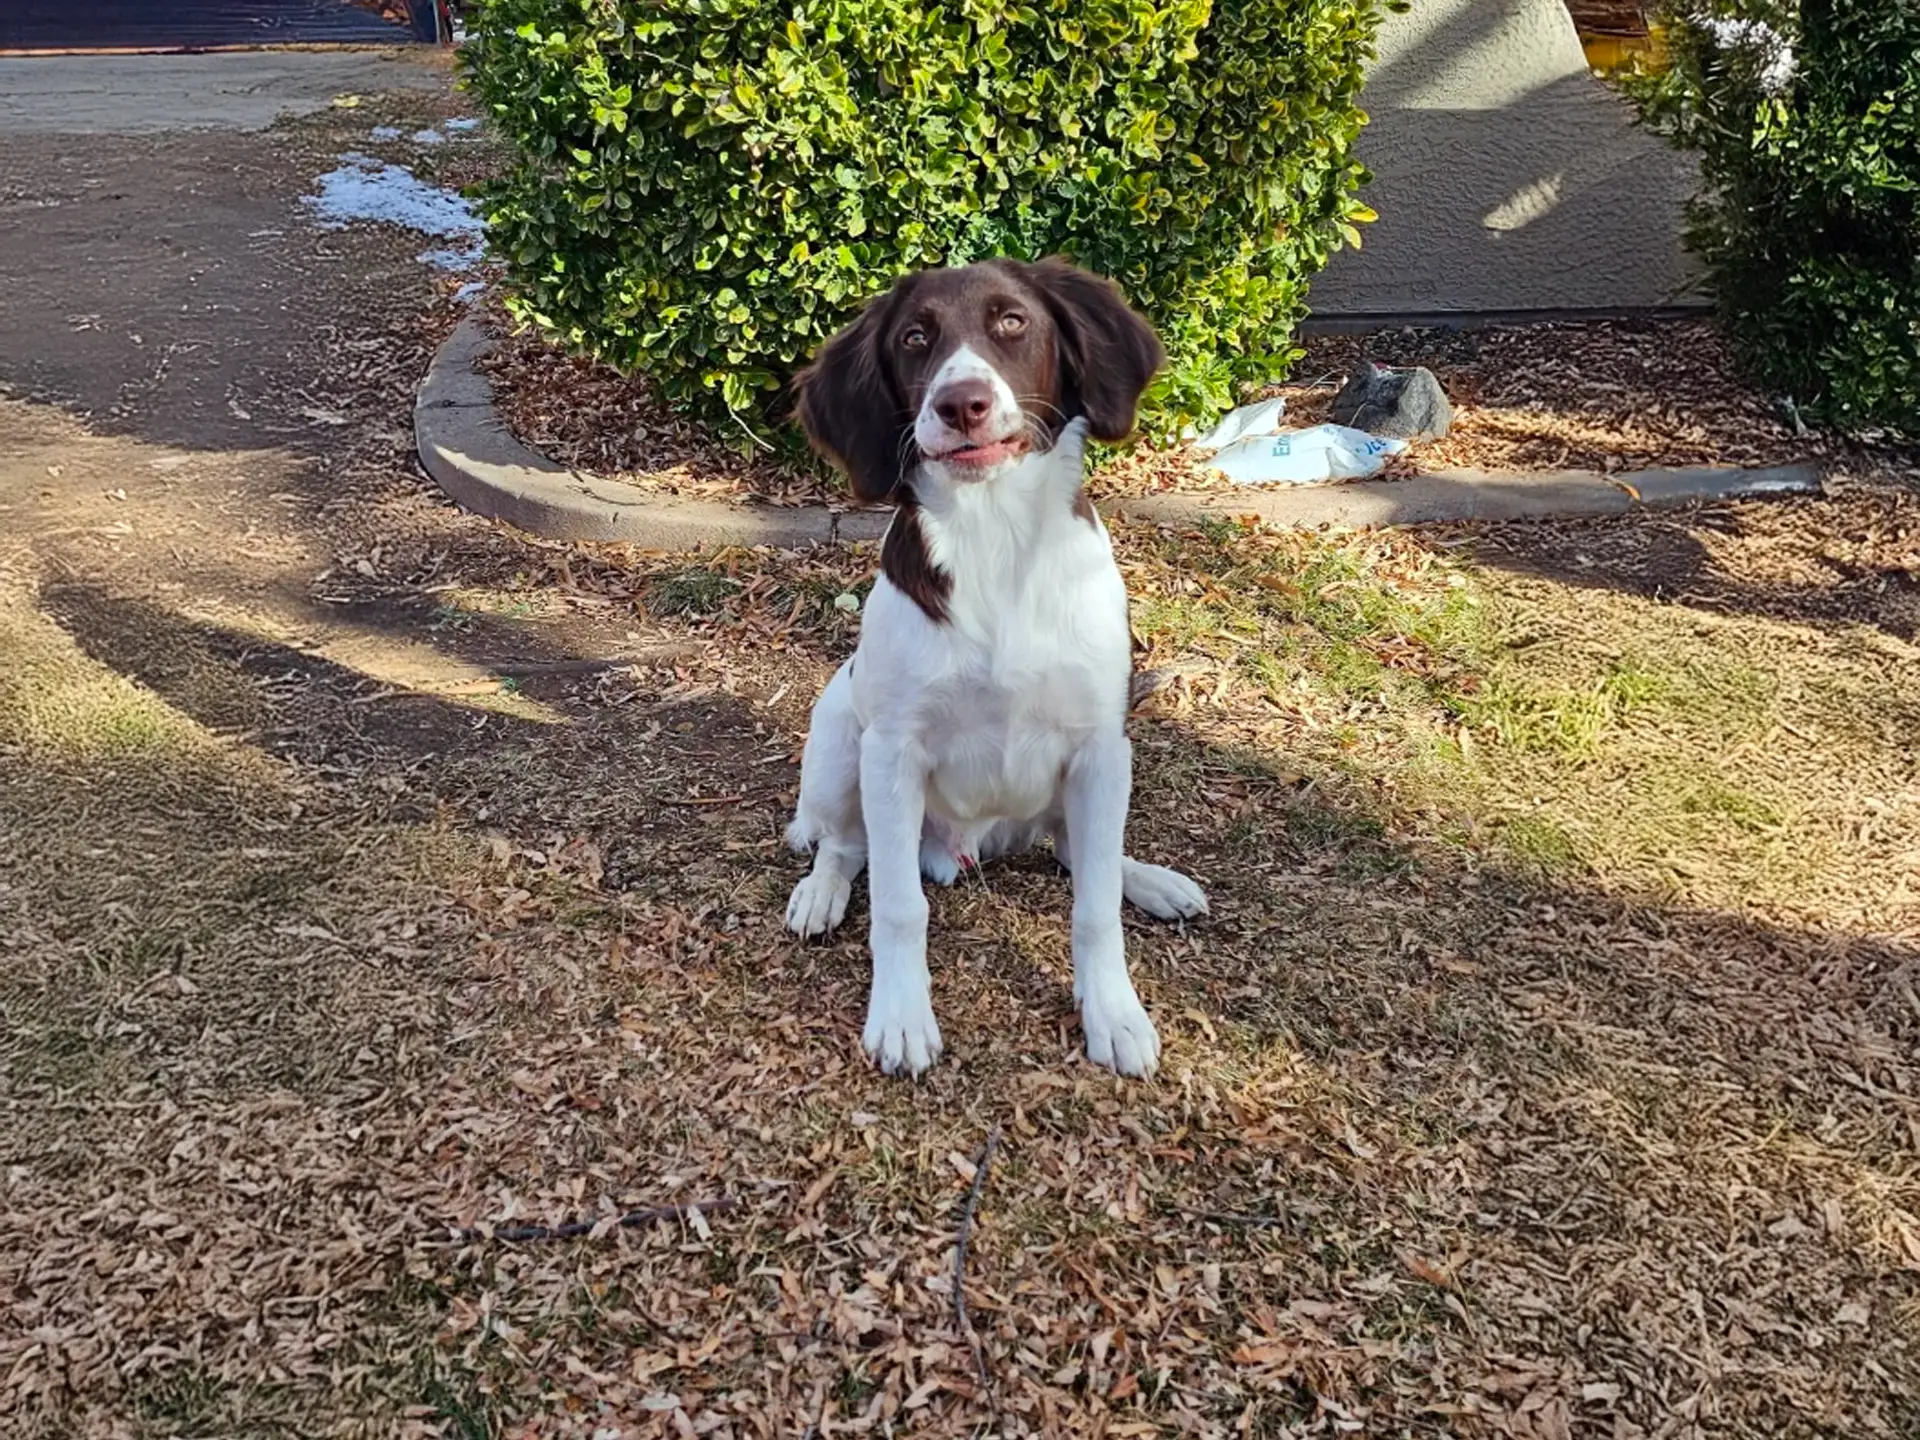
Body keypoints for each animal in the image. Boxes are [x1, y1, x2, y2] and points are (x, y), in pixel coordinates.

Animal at [775, 259, 1198, 1075]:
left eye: (1011, 322)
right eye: (914, 338)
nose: (961, 403)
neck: (996, 538)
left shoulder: (1101, 748)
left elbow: (1094, 904)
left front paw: (1113, 1012)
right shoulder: (892, 751)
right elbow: (900, 907)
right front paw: (901, 1016)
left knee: (1078, 855)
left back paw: (1153, 882)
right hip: (840, 738)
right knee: (845, 846)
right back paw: (820, 893)